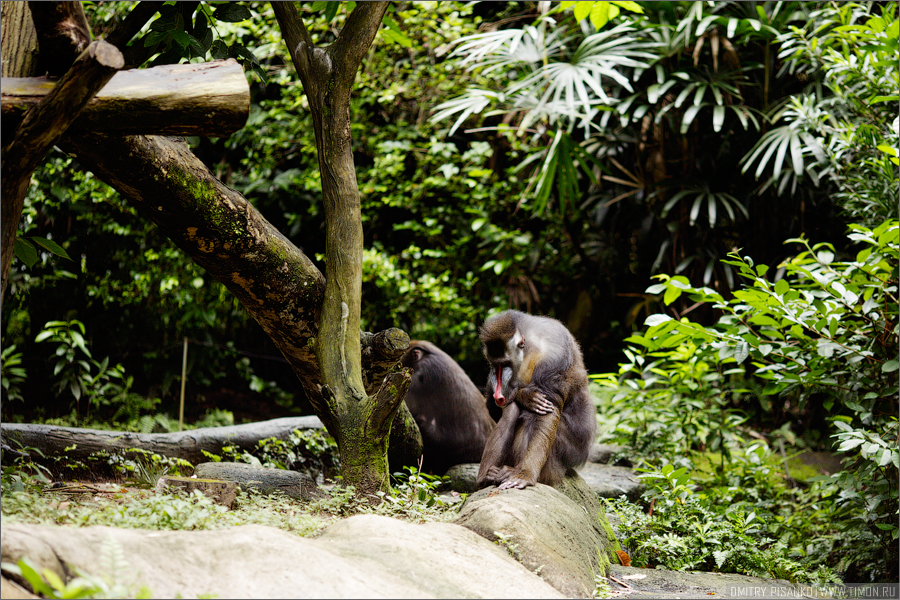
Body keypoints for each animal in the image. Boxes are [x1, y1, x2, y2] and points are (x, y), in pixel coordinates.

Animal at [478, 312, 596, 490]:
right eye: (495, 366)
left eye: (505, 364)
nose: (498, 395)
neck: (529, 349)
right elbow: (492, 408)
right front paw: (524, 396)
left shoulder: (554, 358)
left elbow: (547, 413)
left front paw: (526, 474)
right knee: (511, 410)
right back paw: (486, 477)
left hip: (568, 451)